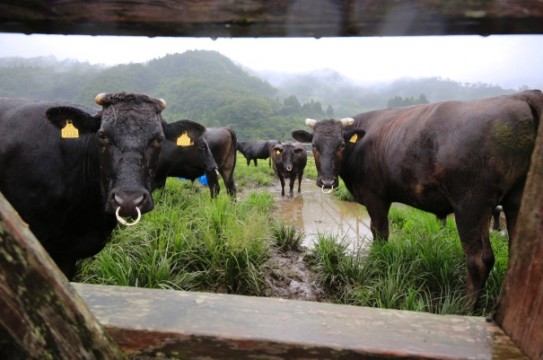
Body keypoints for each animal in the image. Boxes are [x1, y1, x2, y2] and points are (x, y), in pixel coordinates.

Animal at [294, 90, 543, 306]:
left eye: (341, 145)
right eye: (314, 146)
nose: (327, 182)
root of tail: (521, 95)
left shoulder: (375, 197)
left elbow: (380, 232)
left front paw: (377, 263)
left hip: (472, 204)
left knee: (479, 260)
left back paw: (464, 307)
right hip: (515, 201)